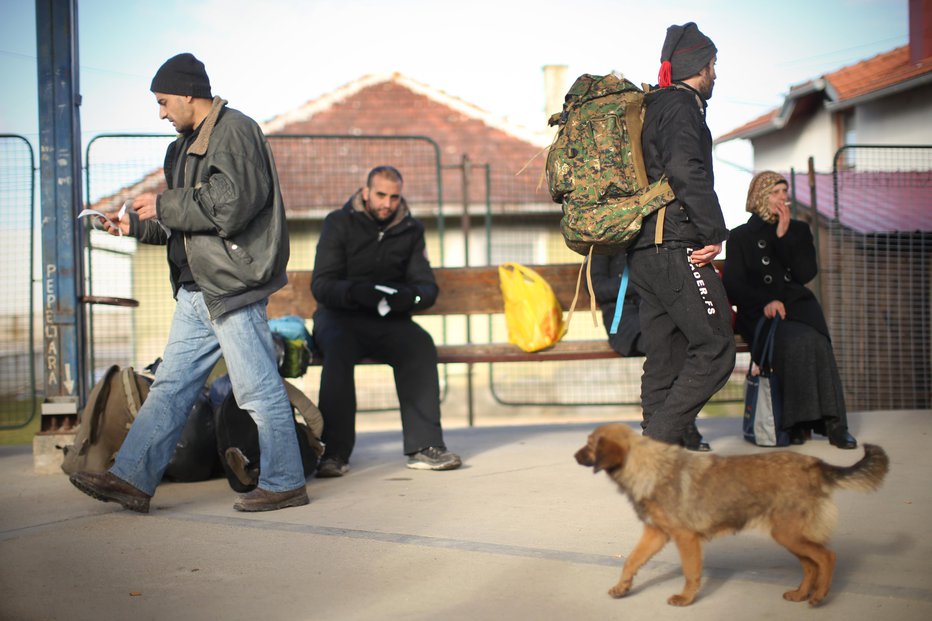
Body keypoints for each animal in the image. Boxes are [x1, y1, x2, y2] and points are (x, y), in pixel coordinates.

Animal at [576, 422, 888, 604]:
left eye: (590, 444)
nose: (574, 456)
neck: (649, 467)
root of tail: (815, 464)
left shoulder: (685, 538)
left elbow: (691, 572)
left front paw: (686, 599)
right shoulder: (656, 534)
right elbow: (631, 561)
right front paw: (622, 587)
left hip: (789, 535)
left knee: (827, 557)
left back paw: (820, 595)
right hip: (788, 536)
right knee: (811, 565)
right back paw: (801, 593)